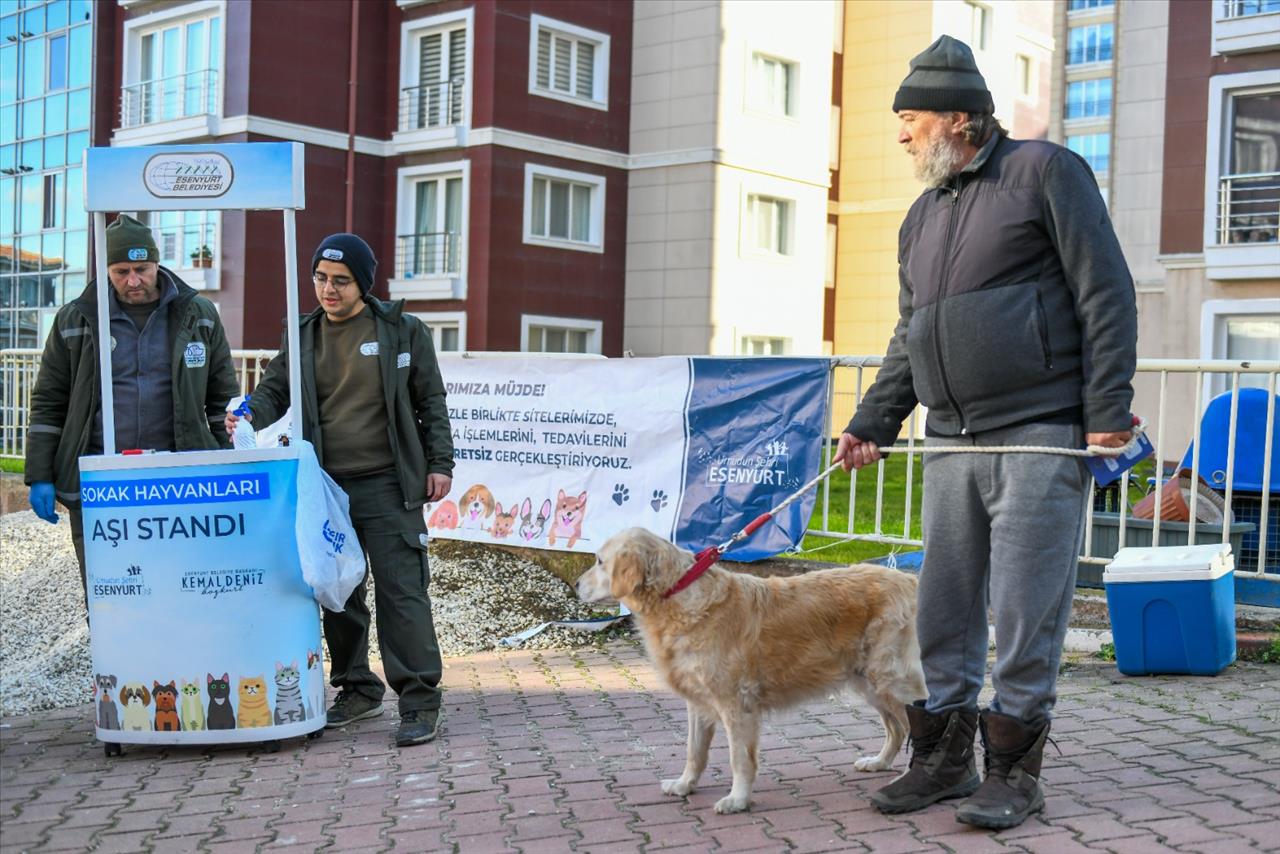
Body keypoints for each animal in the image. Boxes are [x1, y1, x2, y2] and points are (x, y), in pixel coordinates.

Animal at [578, 527, 921, 814]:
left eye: (599, 561)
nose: (577, 584)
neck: (677, 595)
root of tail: (909, 581)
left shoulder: (737, 704)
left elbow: (739, 759)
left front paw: (737, 800)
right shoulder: (698, 703)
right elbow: (694, 751)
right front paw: (685, 785)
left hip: (891, 679)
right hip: (870, 683)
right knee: (897, 729)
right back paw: (879, 763)